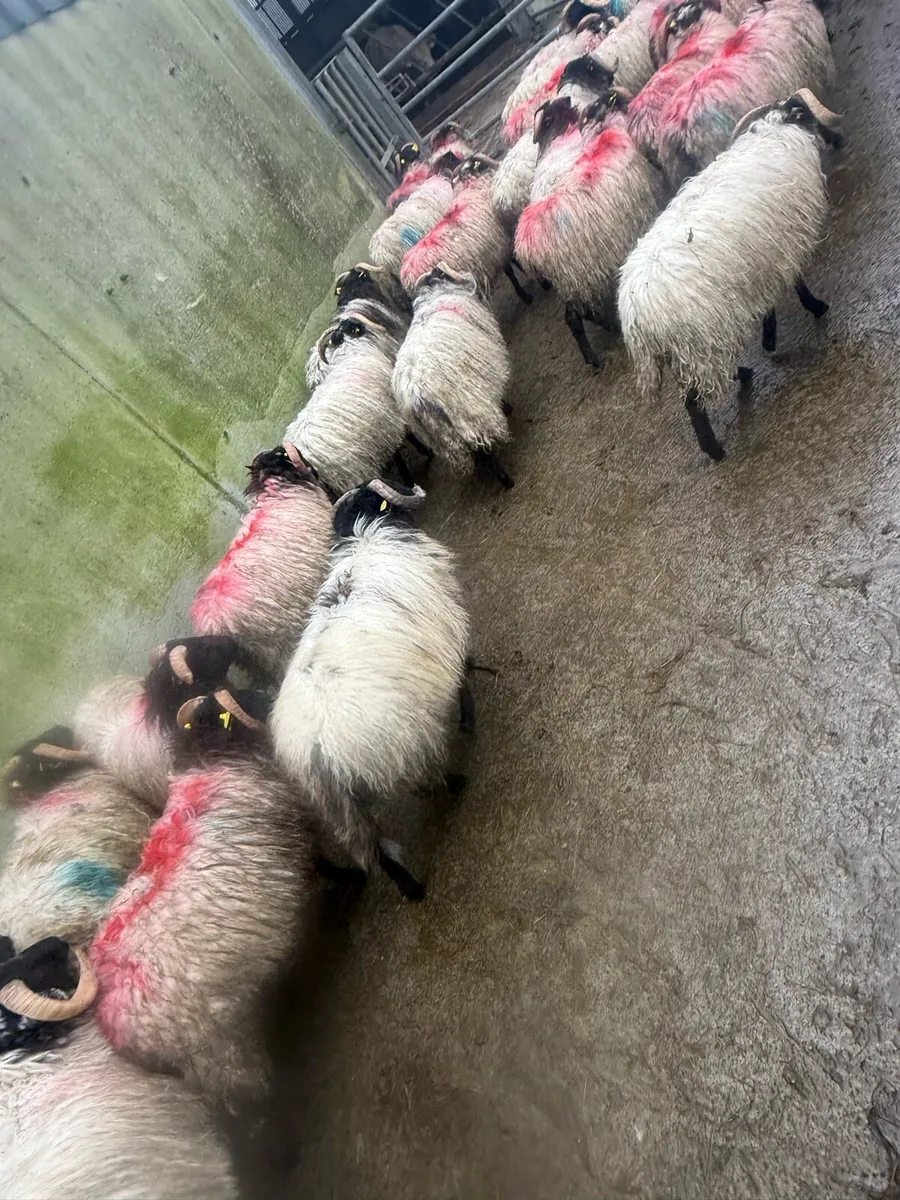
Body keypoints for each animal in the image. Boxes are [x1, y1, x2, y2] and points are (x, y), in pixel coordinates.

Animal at [270, 480, 470, 902]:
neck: (366, 536)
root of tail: (318, 750)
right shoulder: (450, 631)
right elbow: (465, 676)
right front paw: (469, 715)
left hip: (340, 809)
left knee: (374, 852)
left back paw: (411, 888)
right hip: (406, 742)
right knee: (424, 781)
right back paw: (455, 784)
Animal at [392, 266, 514, 487]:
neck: (436, 294)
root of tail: (416, 393)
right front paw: (507, 407)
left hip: (442, 434)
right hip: (468, 409)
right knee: (484, 445)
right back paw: (505, 479)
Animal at [400, 155, 531, 302]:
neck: (471, 184)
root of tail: (407, 276)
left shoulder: (497, 247)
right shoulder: (500, 243)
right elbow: (512, 269)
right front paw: (526, 294)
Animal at [515, 90, 667, 367]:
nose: (566, 98)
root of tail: (526, 245)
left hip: (576, 279)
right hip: (581, 274)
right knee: (576, 316)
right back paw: (596, 354)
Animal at [618, 90, 840, 461]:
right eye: (809, 116)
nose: (838, 139)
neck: (775, 134)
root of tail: (637, 317)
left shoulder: (766, 258)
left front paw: (769, 337)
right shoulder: (786, 247)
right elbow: (795, 285)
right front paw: (810, 311)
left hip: (693, 347)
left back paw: (744, 372)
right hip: (697, 340)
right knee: (693, 402)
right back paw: (715, 450)